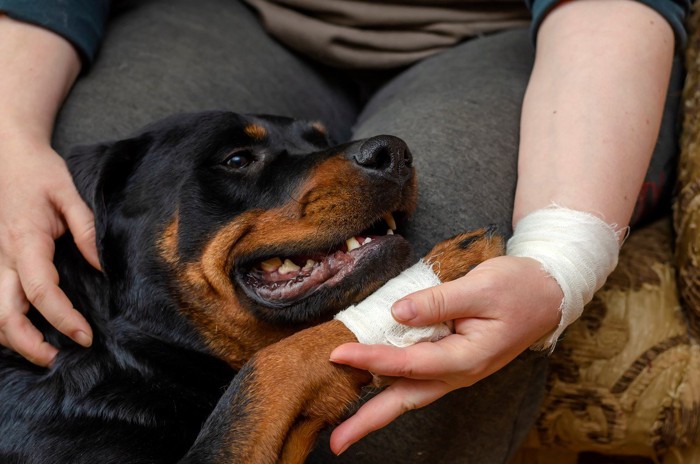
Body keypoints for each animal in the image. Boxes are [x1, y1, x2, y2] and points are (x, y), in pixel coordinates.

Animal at [0, 112, 504, 464]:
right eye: (238, 160)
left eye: (321, 141)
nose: (394, 153)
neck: (125, 358)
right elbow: (268, 367)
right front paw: (448, 263)